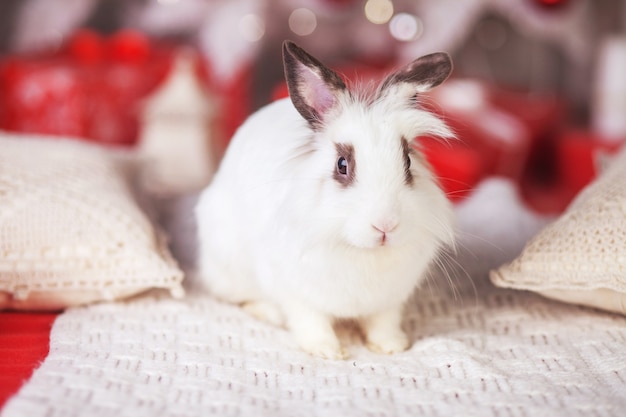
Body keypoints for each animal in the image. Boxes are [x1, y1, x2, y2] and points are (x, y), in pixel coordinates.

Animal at [195, 40, 454, 358]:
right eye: (342, 165)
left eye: (407, 162)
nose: (386, 226)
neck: (361, 251)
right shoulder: (296, 293)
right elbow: (310, 321)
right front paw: (328, 351)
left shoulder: (390, 302)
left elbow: (383, 322)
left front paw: (391, 346)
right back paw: (269, 313)